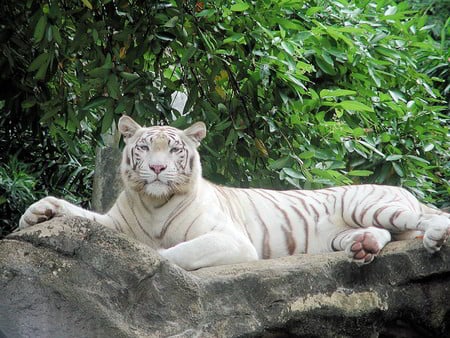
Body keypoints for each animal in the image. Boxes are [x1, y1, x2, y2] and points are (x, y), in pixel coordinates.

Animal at [19, 115, 450, 270]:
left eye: (173, 149)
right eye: (143, 147)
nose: (156, 168)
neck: (155, 204)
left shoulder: (230, 239)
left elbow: (177, 252)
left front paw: (149, 262)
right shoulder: (114, 223)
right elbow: (80, 213)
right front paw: (37, 212)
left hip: (371, 204)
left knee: (424, 219)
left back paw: (435, 236)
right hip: (344, 233)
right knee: (386, 234)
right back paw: (363, 248)